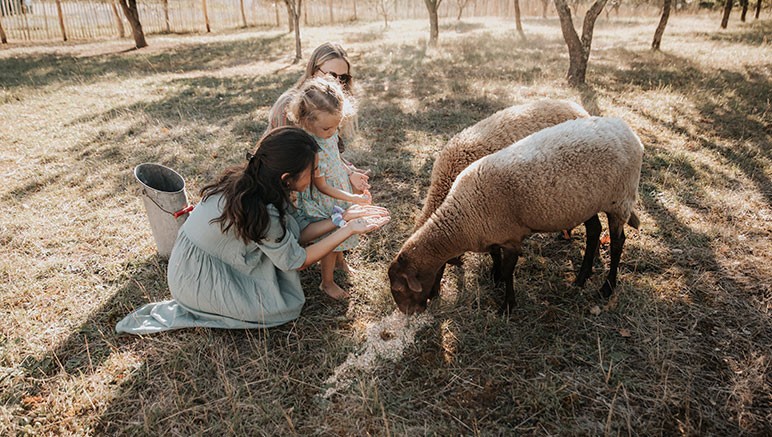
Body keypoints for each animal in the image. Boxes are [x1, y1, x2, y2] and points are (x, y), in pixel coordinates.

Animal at [390, 116, 644, 314]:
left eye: (400, 288)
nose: (409, 313)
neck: (463, 215)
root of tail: (629, 131)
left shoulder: (511, 239)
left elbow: (508, 271)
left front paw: (507, 305)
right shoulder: (494, 235)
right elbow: (498, 260)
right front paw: (497, 282)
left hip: (619, 199)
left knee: (617, 243)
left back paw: (606, 288)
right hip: (584, 203)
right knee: (594, 232)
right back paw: (581, 278)